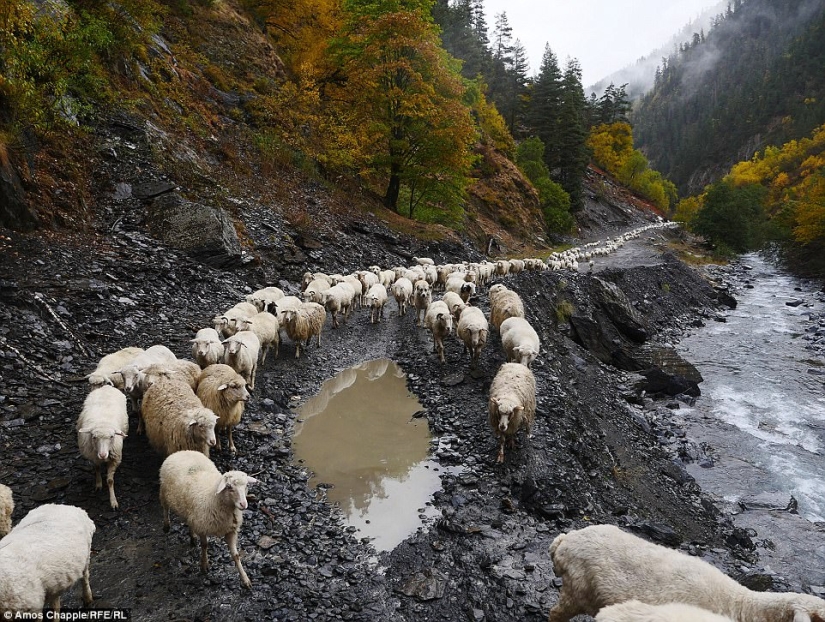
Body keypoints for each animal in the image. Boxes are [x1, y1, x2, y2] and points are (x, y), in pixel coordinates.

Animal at [158, 454, 254, 588]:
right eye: (229, 487)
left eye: (246, 486)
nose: (243, 504)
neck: (214, 497)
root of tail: (181, 452)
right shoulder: (203, 527)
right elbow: (204, 545)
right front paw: (204, 565)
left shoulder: (230, 530)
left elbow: (235, 556)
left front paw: (245, 579)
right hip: (164, 492)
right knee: (165, 508)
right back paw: (166, 526)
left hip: (190, 511)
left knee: (189, 521)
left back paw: (192, 537)